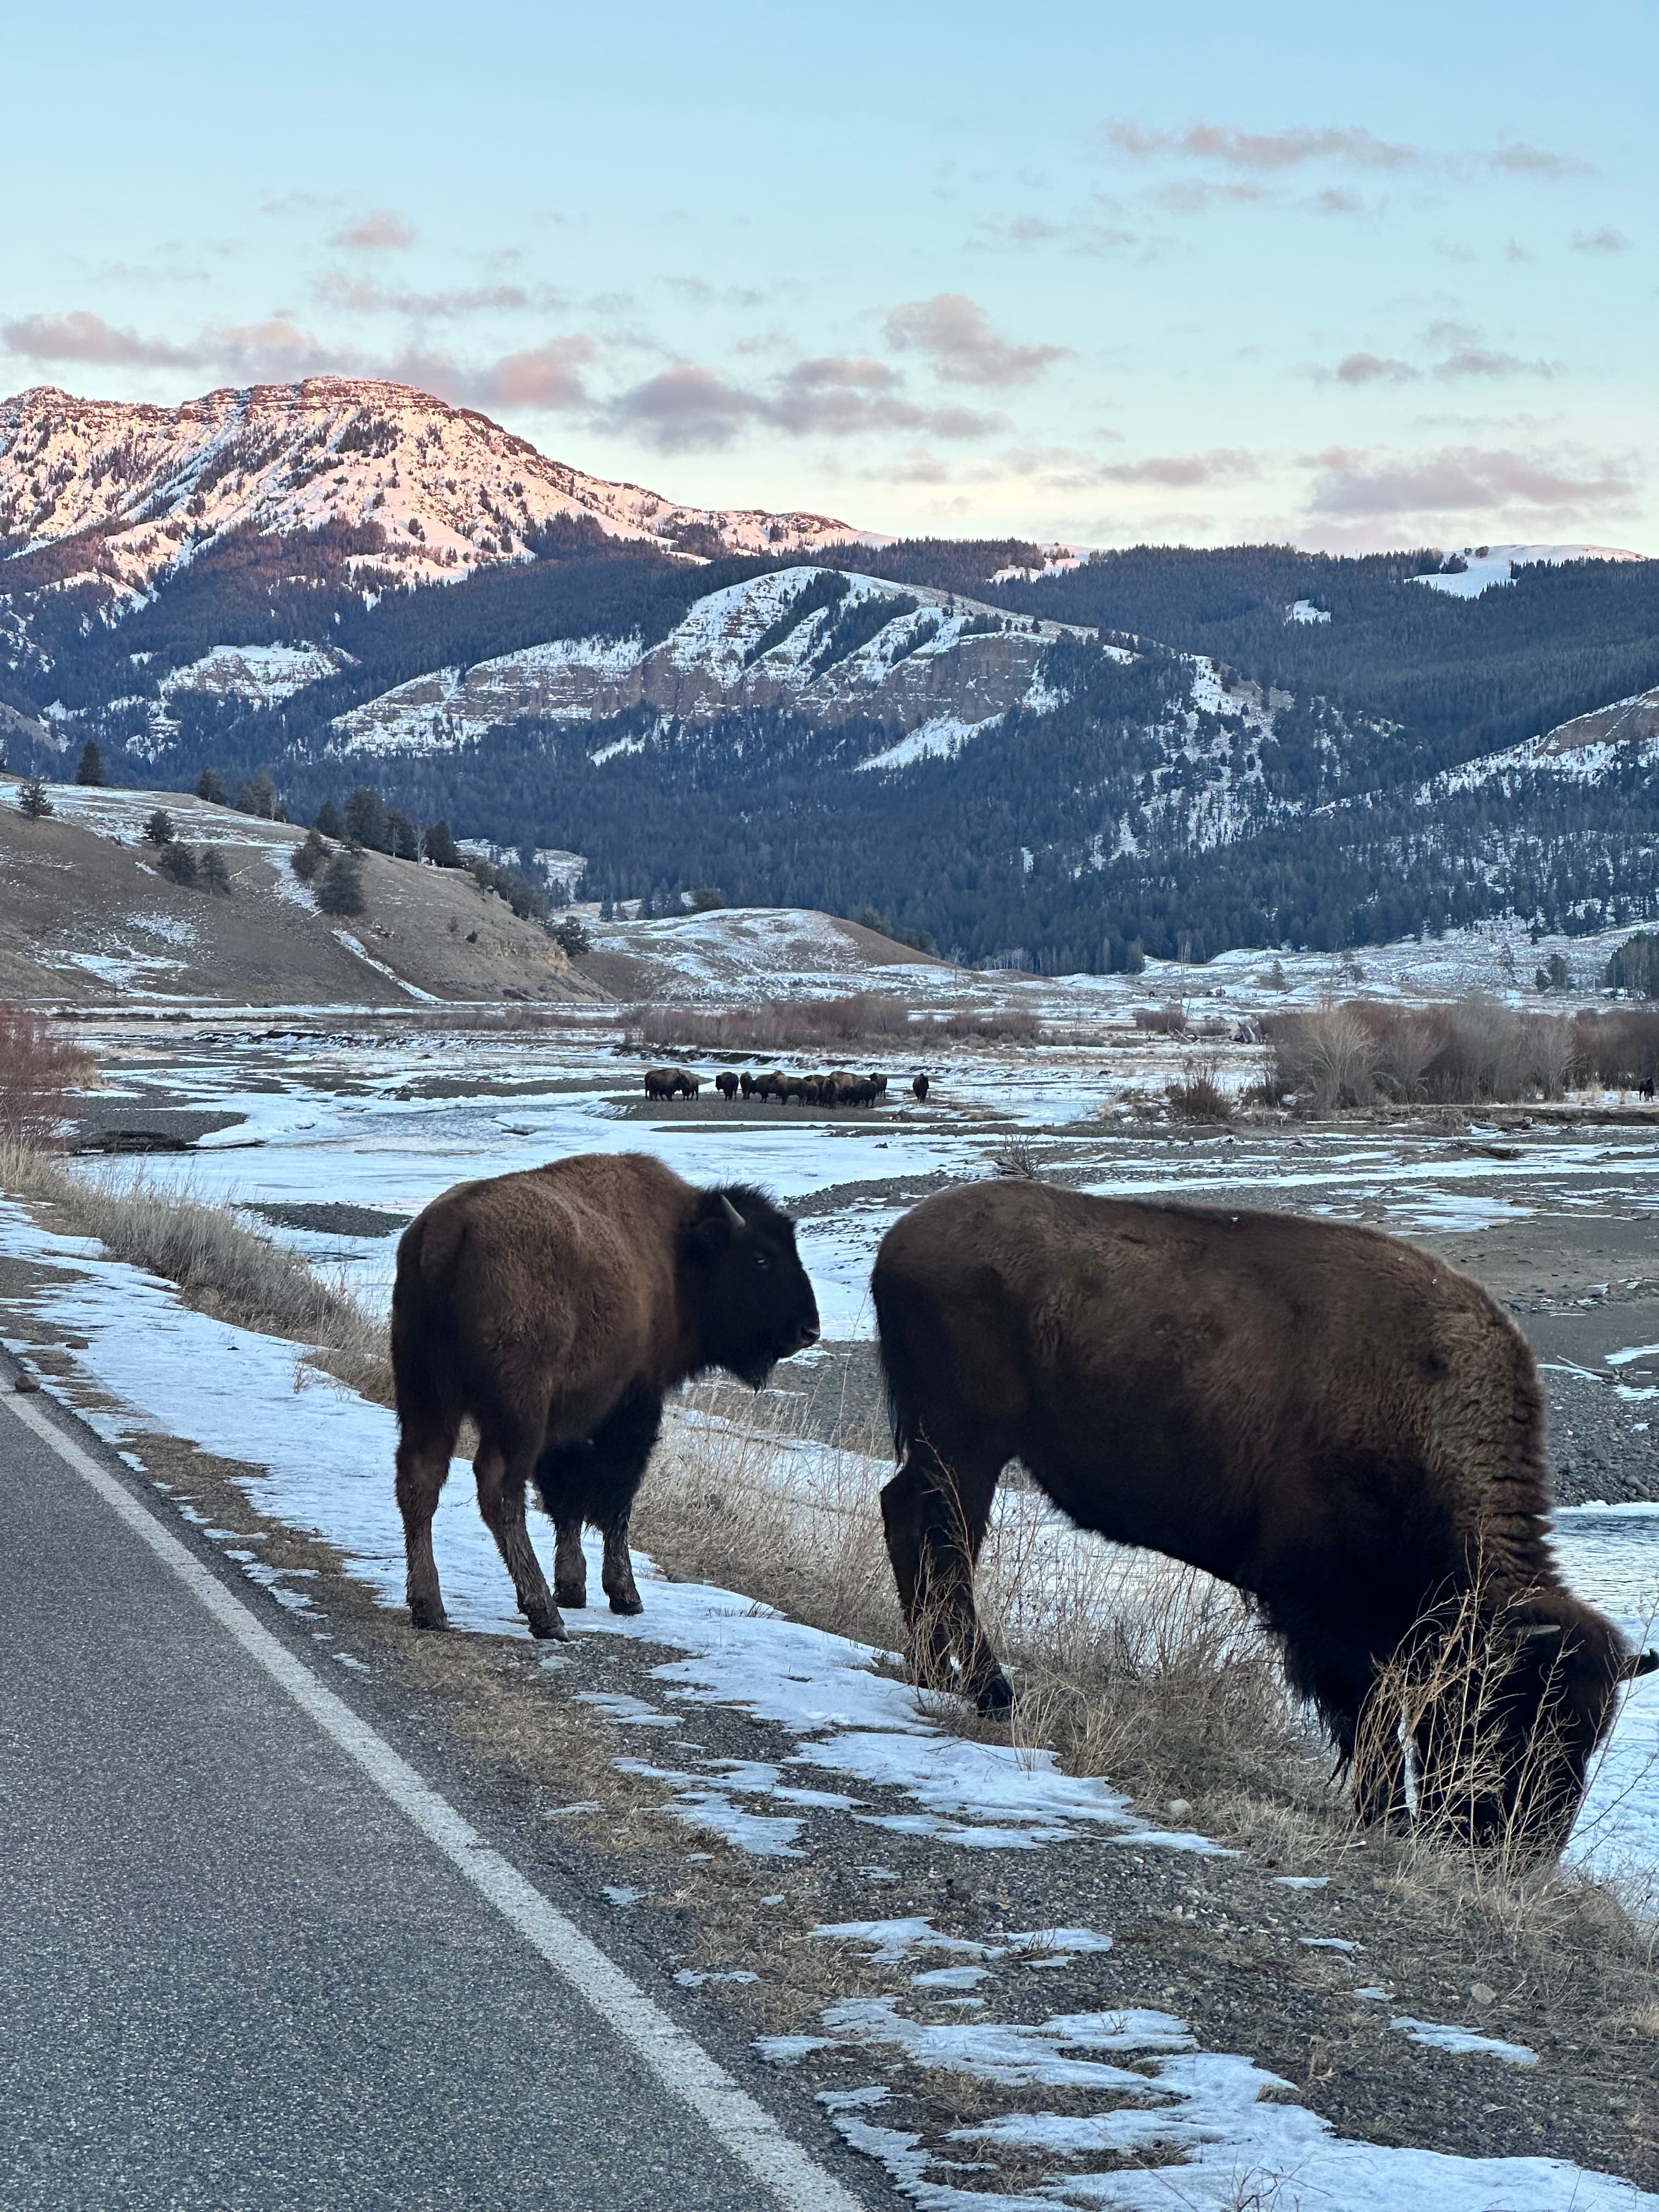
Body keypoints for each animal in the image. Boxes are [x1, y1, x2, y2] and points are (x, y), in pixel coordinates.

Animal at [396, 1159, 827, 1645]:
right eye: (760, 1258)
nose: (809, 1330)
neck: (678, 1251)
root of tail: (448, 1234)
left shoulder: (567, 1422)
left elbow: (566, 1499)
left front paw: (573, 1586)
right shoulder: (631, 1407)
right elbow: (616, 1498)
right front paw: (624, 1595)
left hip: (427, 1395)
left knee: (421, 1476)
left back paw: (430, 1608)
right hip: (516, 1412)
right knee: (499, 1488)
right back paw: (544, 1615)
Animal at [876, 1186, 1654, 1858]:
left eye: (1590, 1733)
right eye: (1510, 1712)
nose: (1519, 1853)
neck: (1420, 1414)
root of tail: (901, 1240)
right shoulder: (1321, 1607)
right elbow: (1370, 1711)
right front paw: (1388, 1817)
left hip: (945, 1450)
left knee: (909, 1520)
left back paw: (933, 1673)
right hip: (966, 1447)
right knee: (949, 1544)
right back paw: (991, 1692)